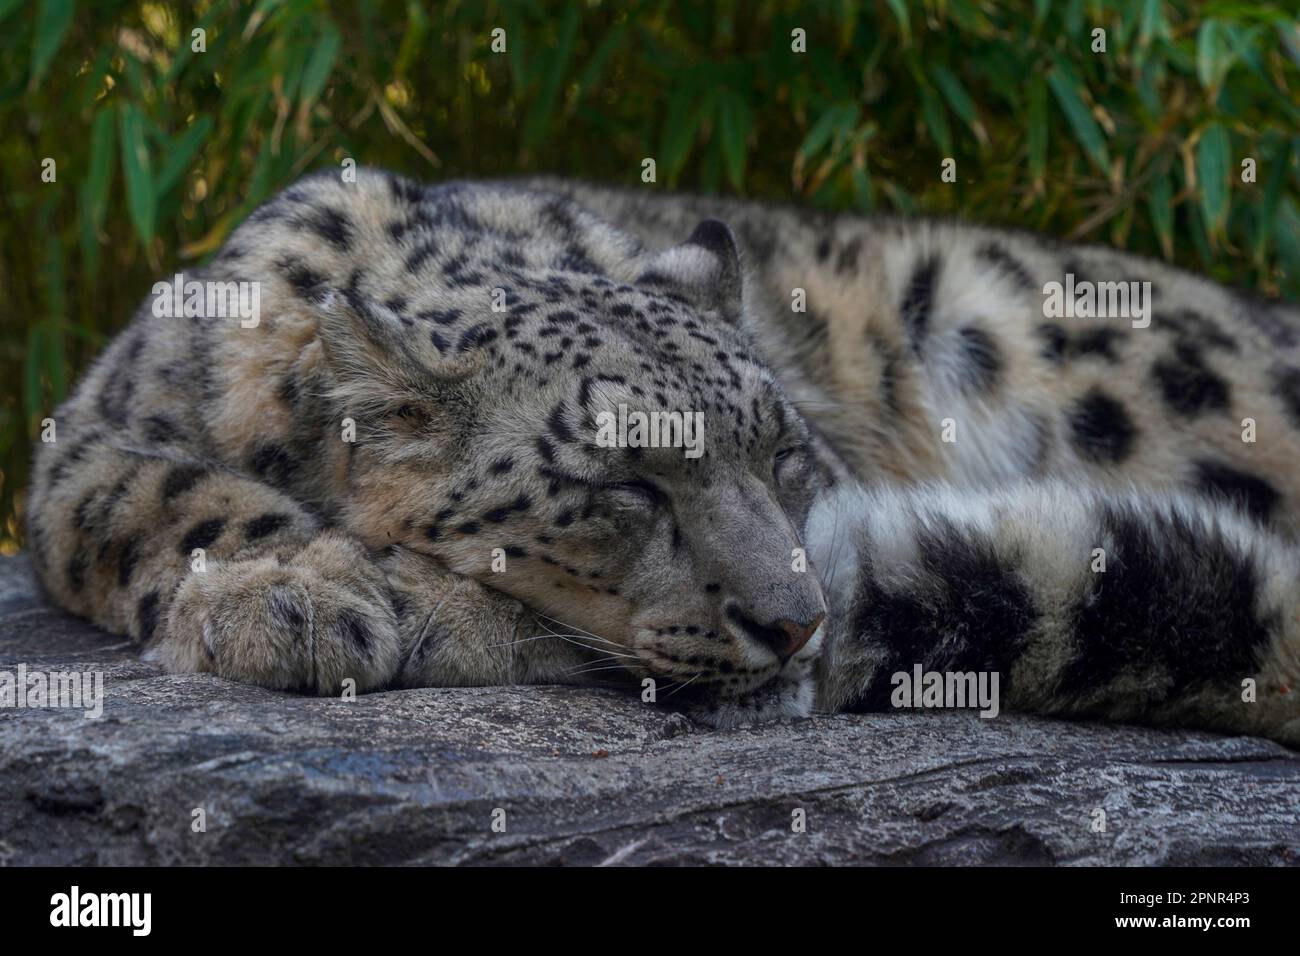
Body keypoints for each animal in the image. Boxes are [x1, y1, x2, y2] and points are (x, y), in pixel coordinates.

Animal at [25, 166, 1300, 744]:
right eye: (625, 482)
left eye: (784, 453)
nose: (799, 621)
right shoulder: (84, 437)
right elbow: (152, 489)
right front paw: (290, 595)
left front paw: (404, 603)